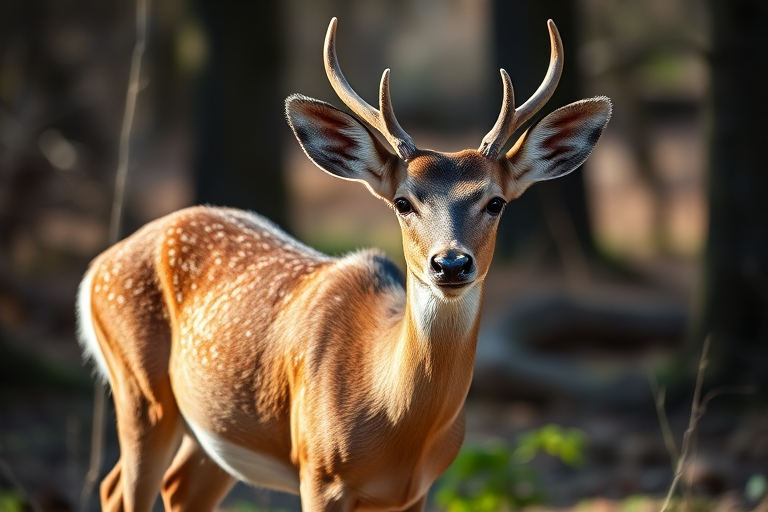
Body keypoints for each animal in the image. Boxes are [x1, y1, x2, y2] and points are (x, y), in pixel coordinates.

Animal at [77, 17, 610, 512]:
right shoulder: (318, 472)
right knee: (120, 488)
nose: (451, 263)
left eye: (496, 202)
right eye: (403, 202)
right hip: (138, 386)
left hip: (211, 424)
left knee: (176, 488)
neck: (395, 419)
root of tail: (96, 268)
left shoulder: (416, 492)